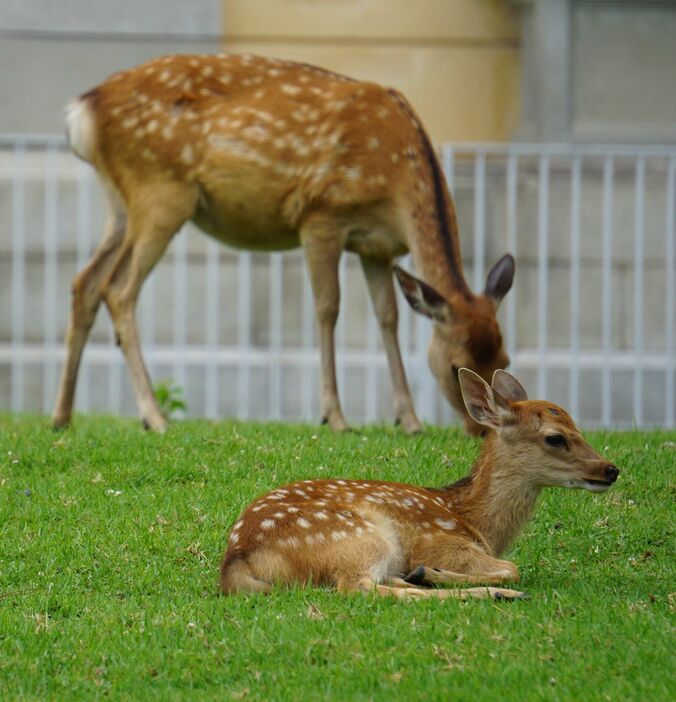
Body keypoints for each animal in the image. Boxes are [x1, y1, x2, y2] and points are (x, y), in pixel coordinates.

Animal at [54, 53, 516, 434]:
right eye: (456, 366)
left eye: (504, 361)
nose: (480, 430)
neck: (394, 176)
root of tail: (82, 111)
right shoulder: (321, 215)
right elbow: (328, 308)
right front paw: (335, 416)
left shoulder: (377, 248)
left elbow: (388, 318)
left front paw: (410, 420)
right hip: (160, 193)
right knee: (119, 289)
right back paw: (153, 416)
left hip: (120, 203)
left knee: (85, 281)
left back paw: (62, 416)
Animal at [220, 368, 616, 604]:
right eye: (555, 438)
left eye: (577, 426)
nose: (610, 470)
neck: (476, 522)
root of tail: (235, 561)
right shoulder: (440, 541)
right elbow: (513, 565)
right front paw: (434, 572)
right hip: (358, 537)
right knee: (358, 587)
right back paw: (495, 591)